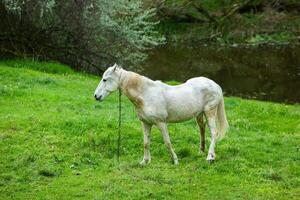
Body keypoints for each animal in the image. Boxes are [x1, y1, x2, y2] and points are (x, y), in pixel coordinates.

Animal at [95, 63, 229, 164]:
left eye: (105, 79)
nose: (96, 96)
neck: (146, 94)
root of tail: (215, 85)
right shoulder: (145, 123)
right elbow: (146, 143)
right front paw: (145, 162)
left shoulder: (161, 123)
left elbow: (167, 142)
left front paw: (175, 160)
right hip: (199, 114)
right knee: (202, 130)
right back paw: (203, 152)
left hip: (210, 111)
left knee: (213, 132)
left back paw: (210, 157)